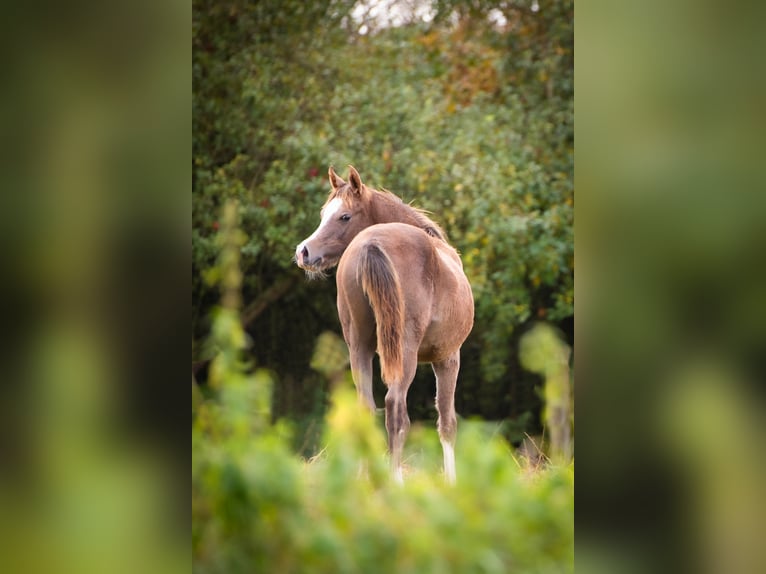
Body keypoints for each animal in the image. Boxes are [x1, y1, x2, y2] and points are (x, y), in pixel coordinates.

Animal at [295, 166, 474, 484]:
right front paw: (451, 483)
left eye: (343, 216)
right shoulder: (449, 358)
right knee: (395, 408)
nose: (304, 251)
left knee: (366, 407)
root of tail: (371, 243)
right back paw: (395, 480)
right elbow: (447, 422)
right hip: (405, 352)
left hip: (359, 347)